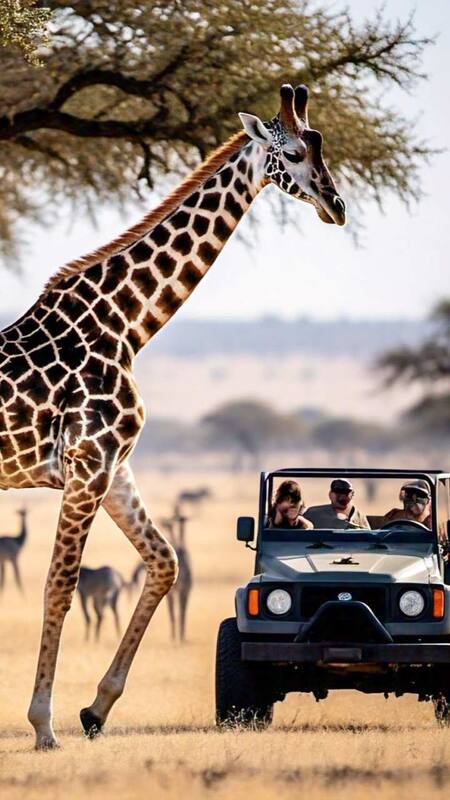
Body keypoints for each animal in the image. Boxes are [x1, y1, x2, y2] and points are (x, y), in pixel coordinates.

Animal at [0, 84, 345, 749]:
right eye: (292, 152)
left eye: (322, 146)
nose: (336, 206)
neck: (126, 325)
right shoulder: (89, 462)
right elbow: (59, 587)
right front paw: (43, 725)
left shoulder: (113, 468)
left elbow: (163, 563)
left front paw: (96, 708)